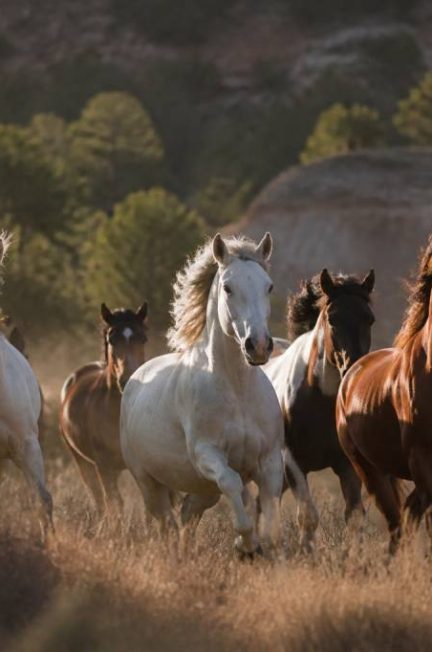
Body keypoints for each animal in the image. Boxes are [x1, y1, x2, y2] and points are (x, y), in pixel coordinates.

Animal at [60, 302, 148, 515]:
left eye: (143, 338)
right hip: (83, 462)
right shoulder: (103, 466)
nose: (128, 379)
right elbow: (114, 503)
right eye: (112, 339)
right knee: (100, 499)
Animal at [120, 233, 317, 557]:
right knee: (166, 523)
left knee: (187, 516)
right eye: (227, 287)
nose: (258, 346)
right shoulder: (207, 454)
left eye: (268, 285)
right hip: (149, 483)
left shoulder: (269, 461)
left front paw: (267, 548)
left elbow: (271, 515)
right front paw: (246, 543)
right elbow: (233, 483)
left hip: (202, 491)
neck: (237, 391)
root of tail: (135, 380)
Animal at [264, 268, 375, 529]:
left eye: (369, 319)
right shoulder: (293, 463)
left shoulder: (347, 465)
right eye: (332, 318)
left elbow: (354, 515)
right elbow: (307, 517)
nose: (354, 367)